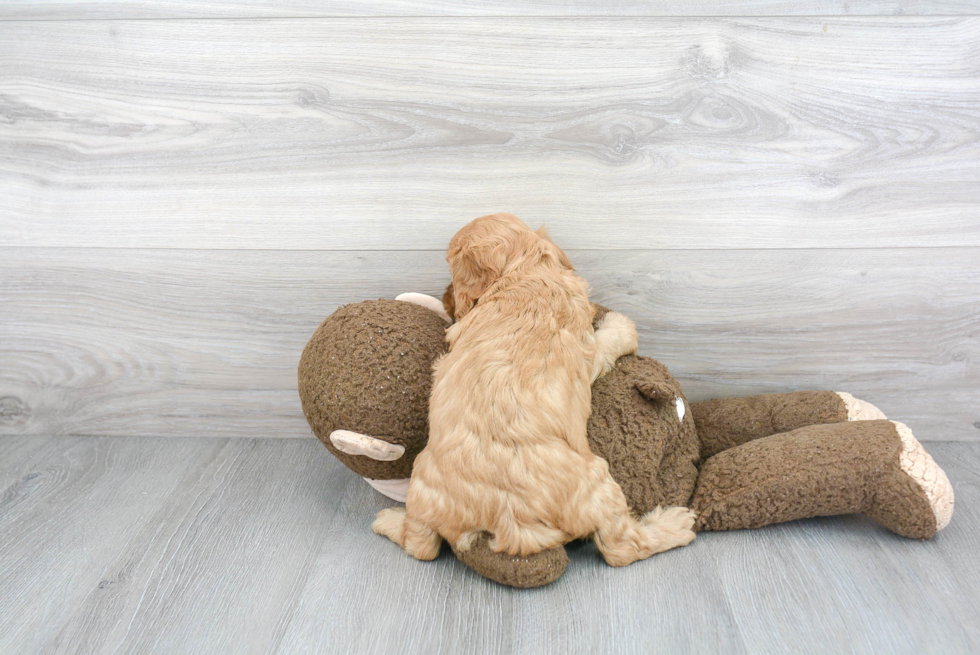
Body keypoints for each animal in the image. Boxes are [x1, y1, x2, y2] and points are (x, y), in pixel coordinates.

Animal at [370, 215, 696, 568]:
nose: (444, 296)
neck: (523, 276)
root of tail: (508, 524)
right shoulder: (588, 348)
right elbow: (611, 340)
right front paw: (621, 324)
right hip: (599, 485)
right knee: (621, 548)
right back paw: (674, 523)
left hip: (423, 486)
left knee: (421, 545)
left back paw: (387, 520)